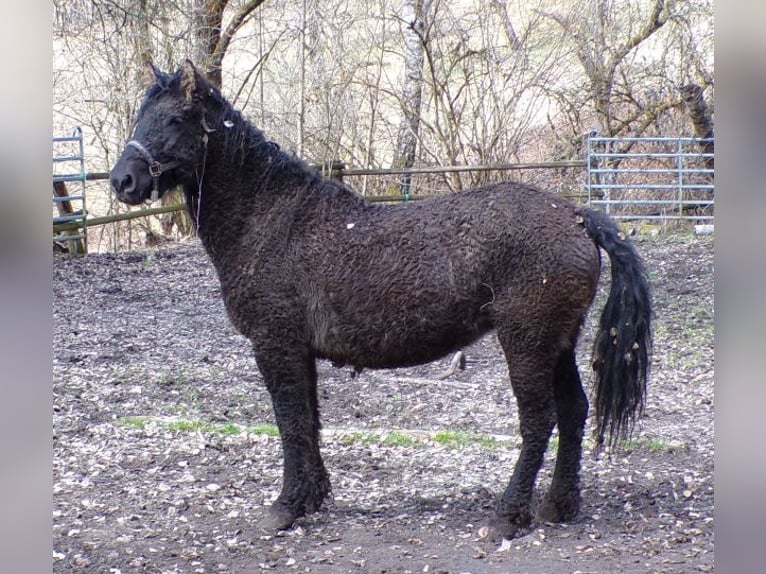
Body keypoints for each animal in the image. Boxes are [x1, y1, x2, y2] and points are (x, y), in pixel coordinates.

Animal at [110, 60, 652, 541]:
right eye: (141, 115)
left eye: (174, 119)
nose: (123, 181)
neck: (273, 219)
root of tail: (577, 217)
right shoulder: (299, 353)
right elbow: (308, 421)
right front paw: (311, 498)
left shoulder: (275, 346)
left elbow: (290, 423)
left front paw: (285, 507)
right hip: (557, 344)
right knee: (574, 411)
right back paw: (558, 506)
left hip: (527, 343)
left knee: (540, 421)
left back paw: (507, 516)